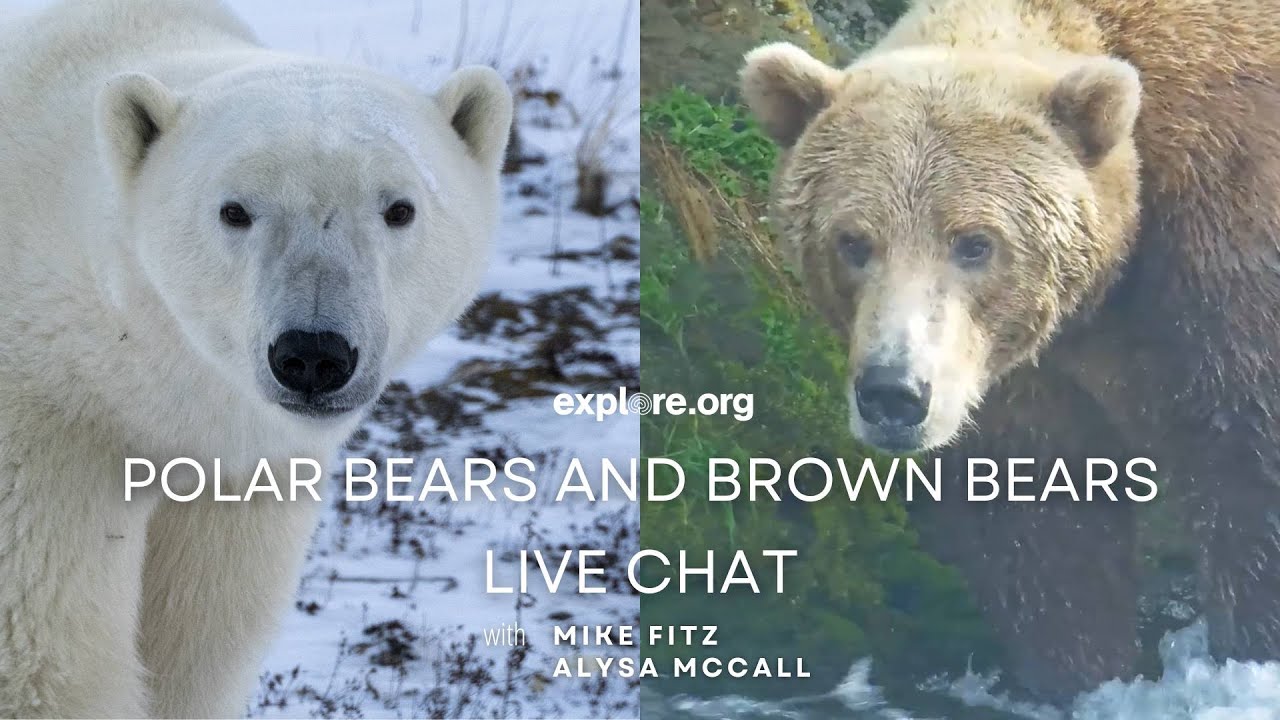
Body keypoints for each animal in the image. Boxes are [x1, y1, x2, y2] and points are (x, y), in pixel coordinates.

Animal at [0, 0, 511, 717]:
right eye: (235, 210)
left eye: (400, 208)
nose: (314, 355)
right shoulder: (46, 420)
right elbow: (41, 648)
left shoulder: (240, 468)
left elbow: (199, 642)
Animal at [741, 0, 1280, 704]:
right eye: (853, 242)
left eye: (974, 242)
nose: (893, 394)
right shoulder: (1015, 375)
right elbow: (1045, 531)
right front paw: (1084, 675)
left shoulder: (1225, 256)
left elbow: (1246, 474)